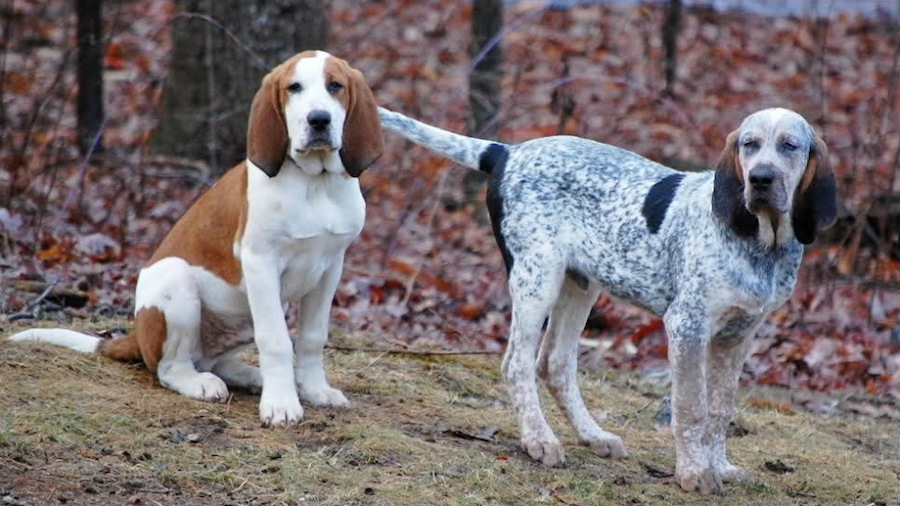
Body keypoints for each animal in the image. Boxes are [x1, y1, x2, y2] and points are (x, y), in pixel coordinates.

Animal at [10, 50, 384, 426]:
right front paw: (281, 404)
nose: (319, 119)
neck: (315, 183)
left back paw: (251, 376)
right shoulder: (260, 263)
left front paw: (315, 390)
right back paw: (201, 383)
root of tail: (137, 336)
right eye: (294, 88)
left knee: (216, 361)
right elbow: (276, 340)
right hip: (176, 280)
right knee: (168, 368)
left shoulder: (330, 267)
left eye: (335, 86)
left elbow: (311, 337)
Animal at [378, 107, 836, 494]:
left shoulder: (738, 335)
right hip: (536, 279)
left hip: (579, 286)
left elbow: (720, 410)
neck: (763, 245)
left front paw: (718, 466)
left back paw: (592, 435)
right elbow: (692, 408)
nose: (759, 179)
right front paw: (693, 472)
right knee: (517, 364)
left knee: (554, 364)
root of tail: (508, 152)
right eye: (748, 144)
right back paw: (539, 440)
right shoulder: (687, 326)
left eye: (790, 146)